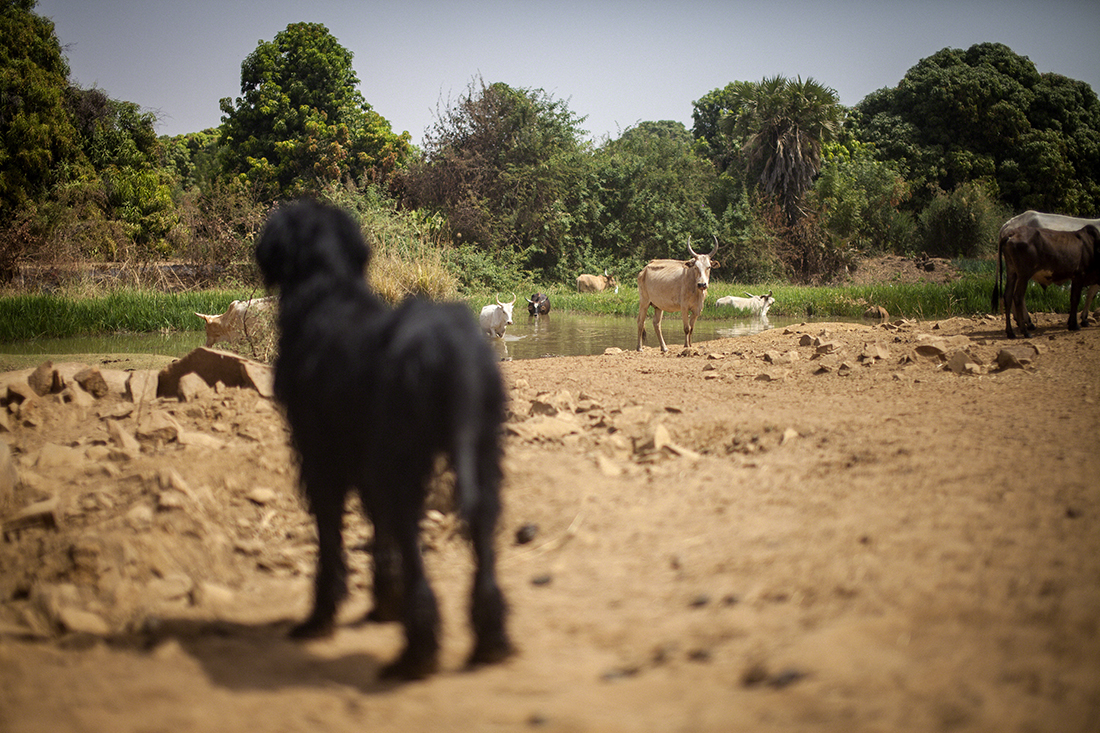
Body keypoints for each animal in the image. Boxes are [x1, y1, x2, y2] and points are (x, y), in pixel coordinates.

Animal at [255, 197, 512, 677]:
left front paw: (323, 614)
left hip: (402, 458)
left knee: (409, 534)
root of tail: (447, 347)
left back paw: (418, 650)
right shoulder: (365, 453)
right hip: (482, 452)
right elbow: (376, 526)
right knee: (482, 528)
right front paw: (384, 600)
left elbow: (332, 533)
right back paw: (492, 639)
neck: (326, 292)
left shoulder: (319, 454)